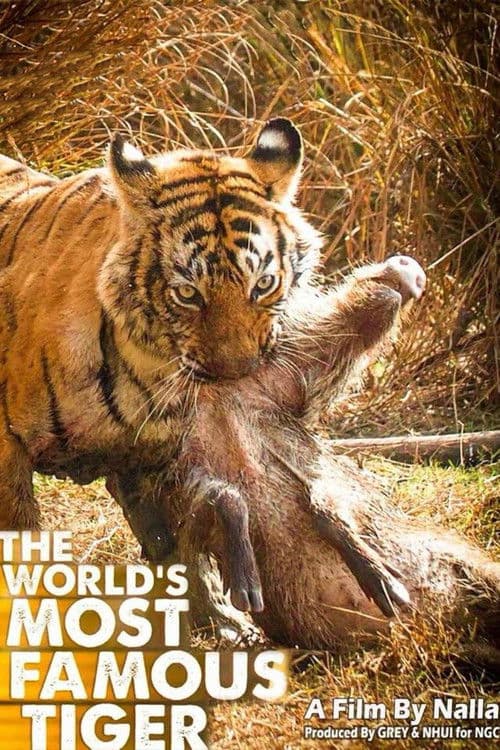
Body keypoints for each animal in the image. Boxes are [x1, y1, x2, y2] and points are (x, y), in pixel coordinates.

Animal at [0, 118, 322, 560]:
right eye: (187, 293)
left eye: (263, 284)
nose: (236, 373)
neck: (147, 372)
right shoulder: (7, 455)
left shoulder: (155, 471)